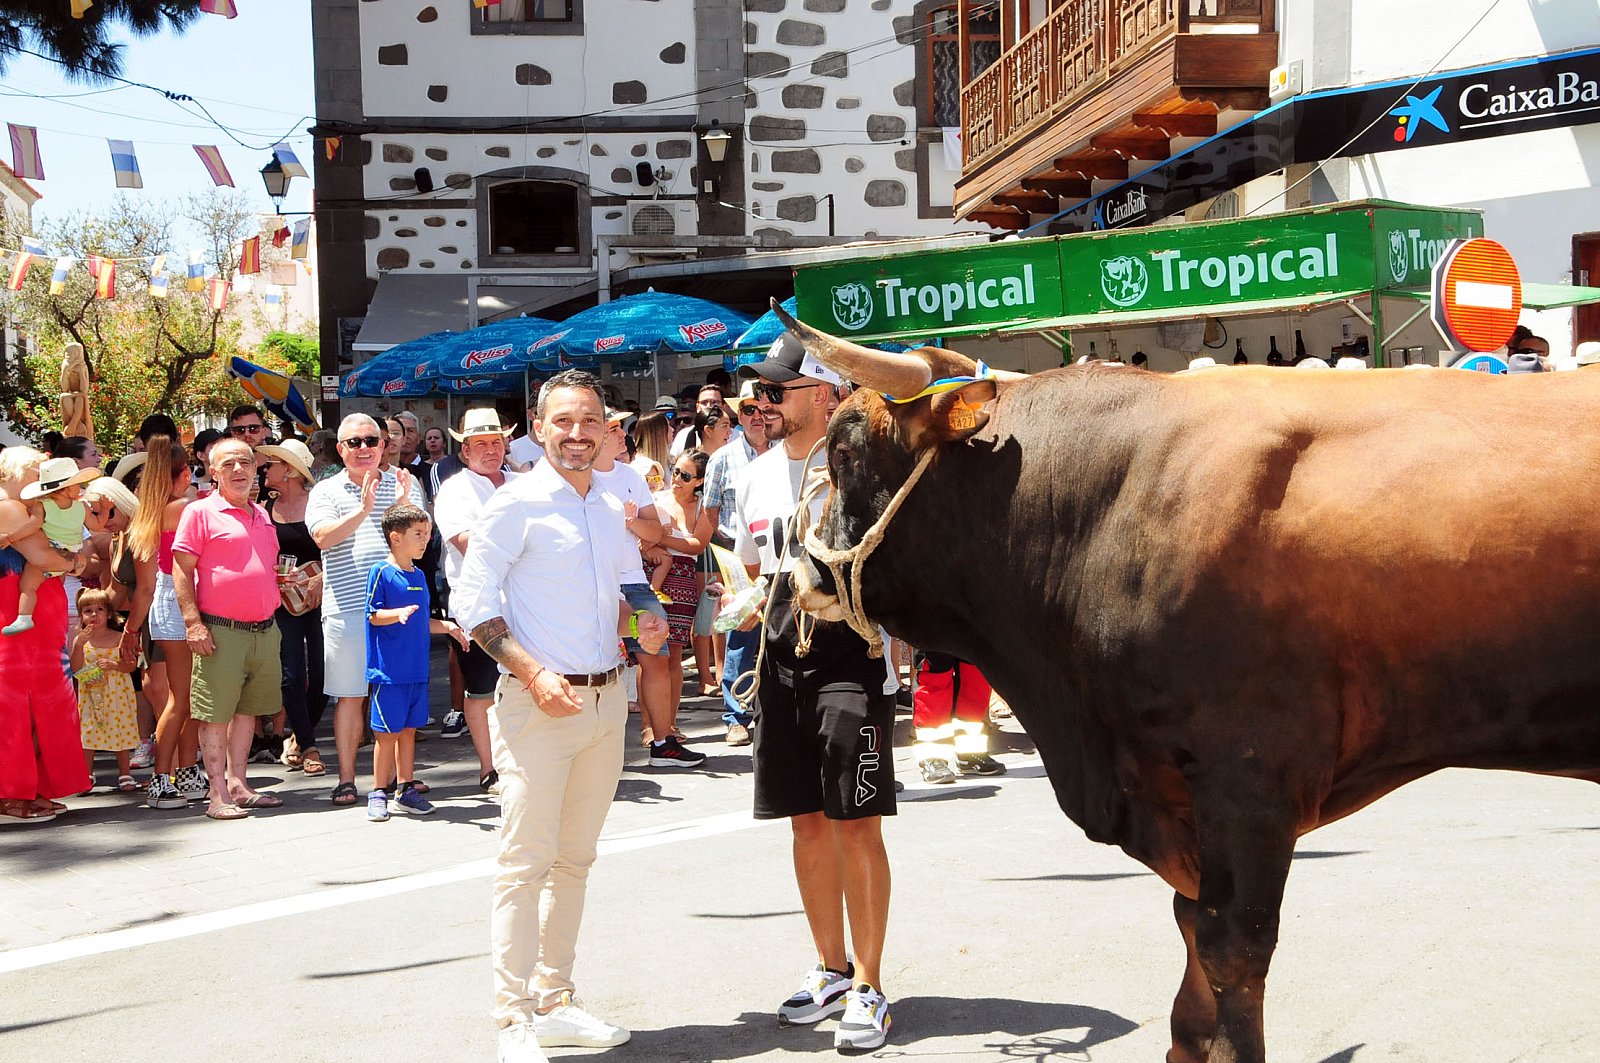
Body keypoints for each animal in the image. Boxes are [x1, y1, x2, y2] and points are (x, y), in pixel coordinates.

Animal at [780, 300, 1600, 1063]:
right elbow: (1187, 919)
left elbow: (1232, 941)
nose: (797, 576)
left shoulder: (1248, 778)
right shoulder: (1174, 783)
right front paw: (1187, 1037)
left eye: (846, 452)